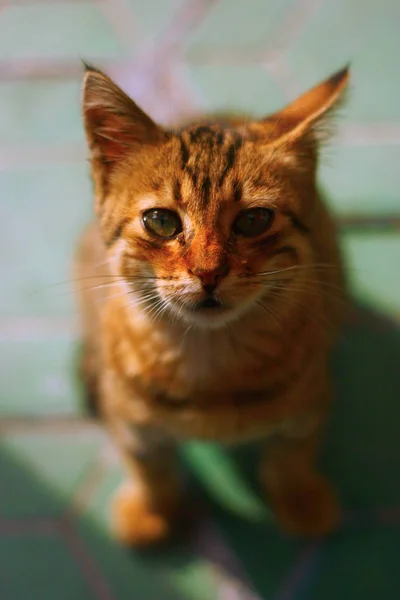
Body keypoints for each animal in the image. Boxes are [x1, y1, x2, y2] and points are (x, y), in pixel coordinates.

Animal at [76, 63, 350, 548]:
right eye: (161, 221)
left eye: (254, 219)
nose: (208, 272)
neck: (207, 356)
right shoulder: (131, 422)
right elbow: (149, 466)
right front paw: (151, 510)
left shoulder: (310, 401)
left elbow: (292, 459)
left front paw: (301, 500)